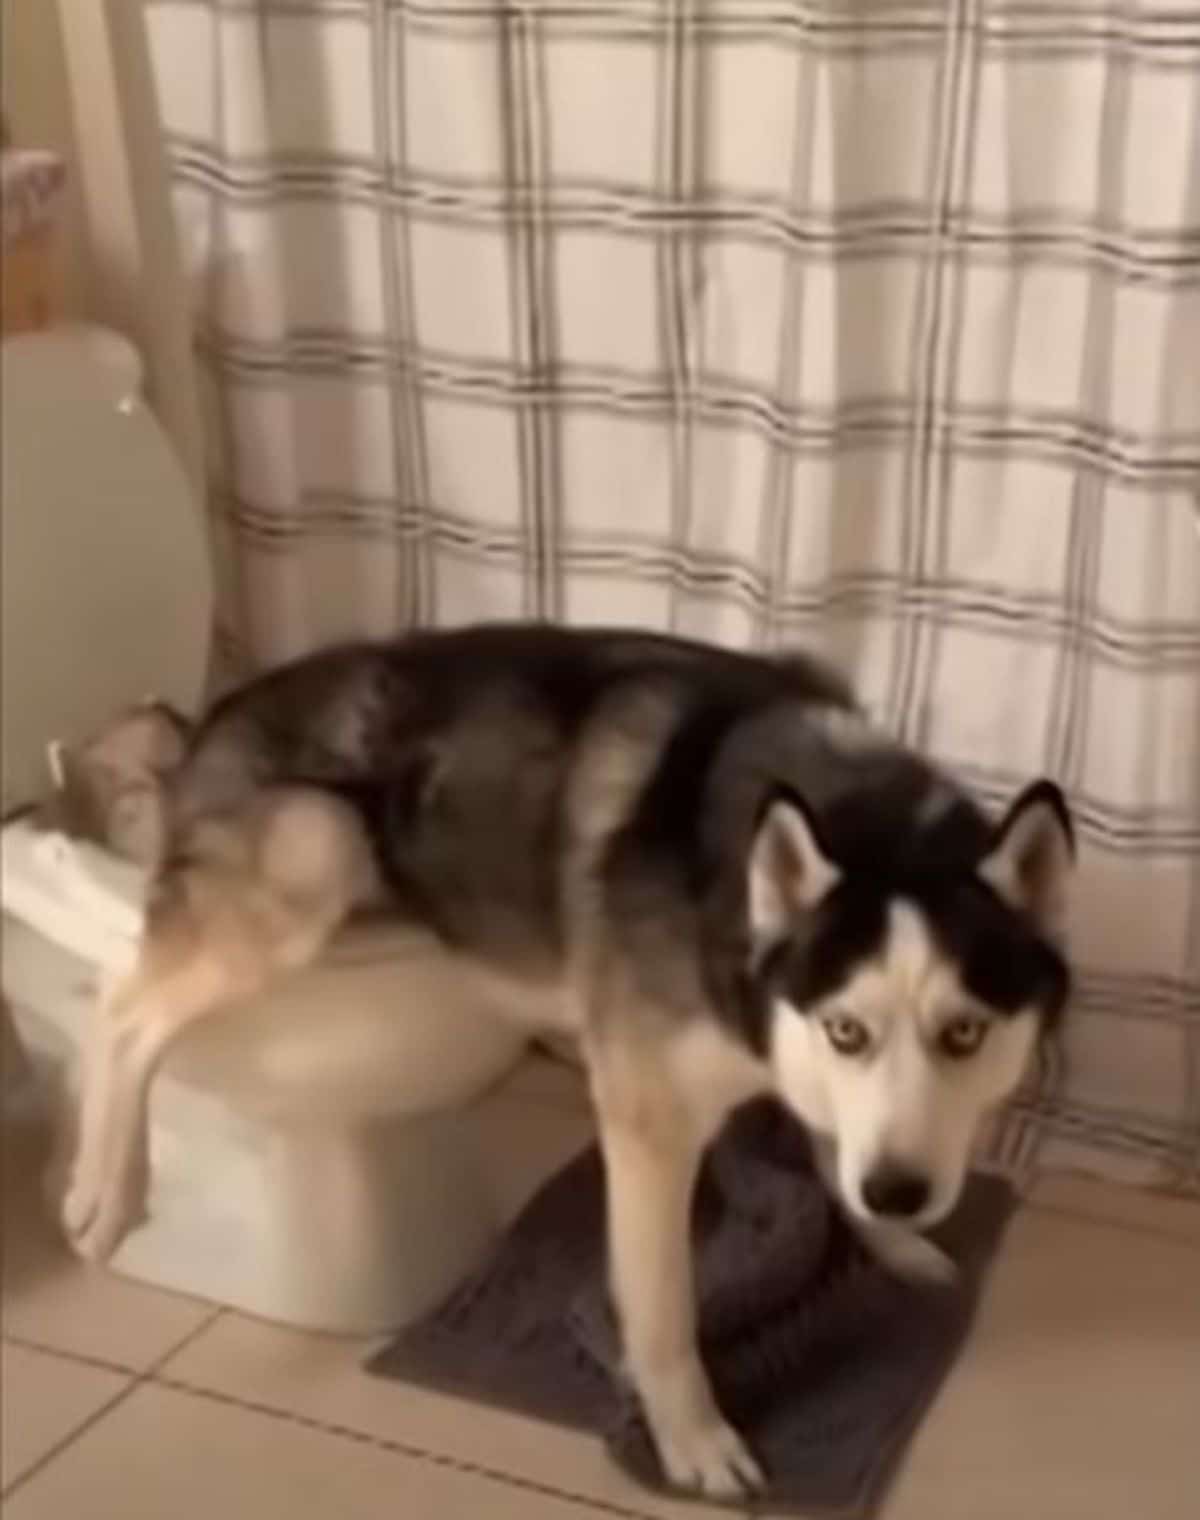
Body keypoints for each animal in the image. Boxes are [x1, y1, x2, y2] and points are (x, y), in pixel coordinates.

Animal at [58, 620, 1064, 1495]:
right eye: (849, 1029)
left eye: (965, 1034)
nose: (899, 1192)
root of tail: (210, 717)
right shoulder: (650, 1117)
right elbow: (663, 1310)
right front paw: (693, 1441)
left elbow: (830, 1143)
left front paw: (889, 1243)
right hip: (319, 842)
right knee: (121, 1012)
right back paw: (104, 1193)